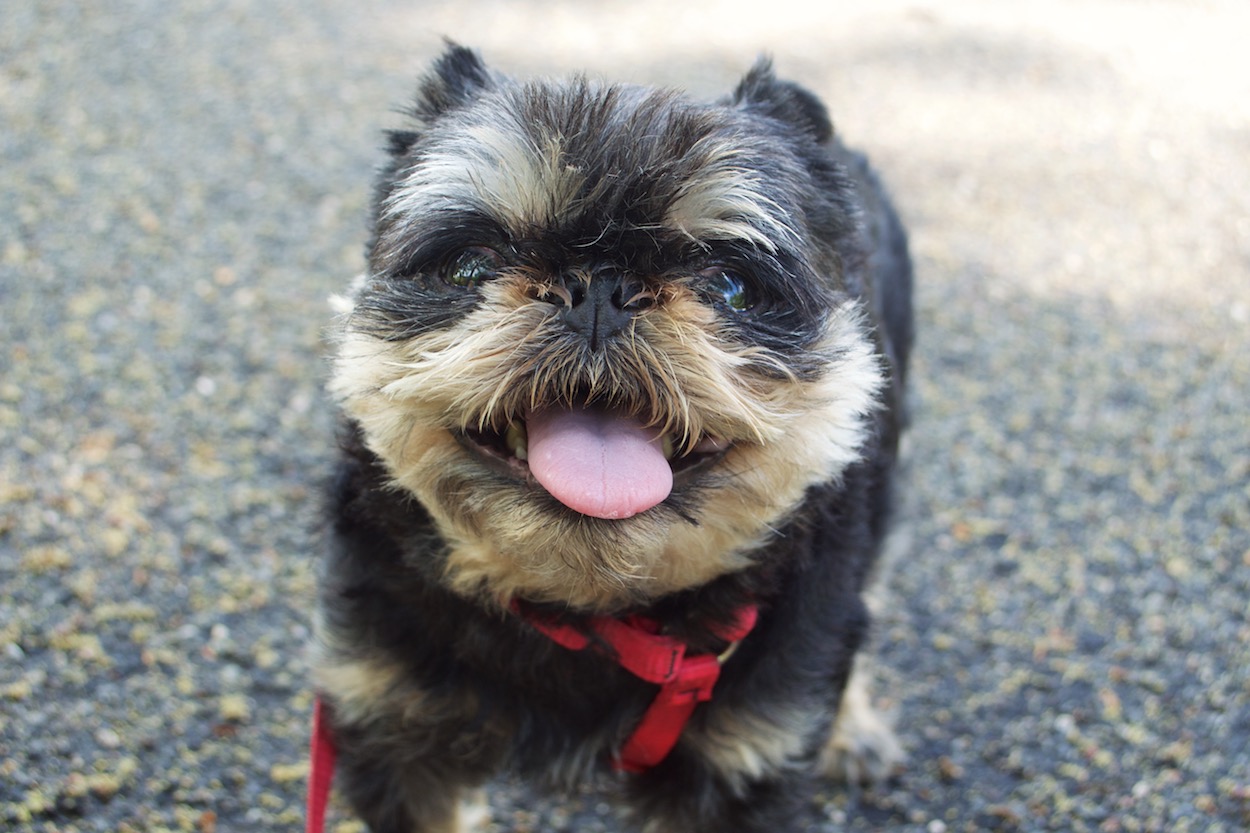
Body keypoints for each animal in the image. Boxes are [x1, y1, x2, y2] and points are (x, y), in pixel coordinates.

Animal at [315, 45, 910, 830]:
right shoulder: (392, 722)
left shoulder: (743, 756)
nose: (598, 288)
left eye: (732, 286)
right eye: (469, 264)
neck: (584, 615)